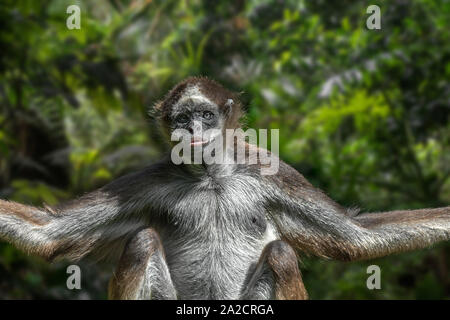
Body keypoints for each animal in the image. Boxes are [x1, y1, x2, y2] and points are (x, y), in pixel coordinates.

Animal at [0, 76, 450, 298]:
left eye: (205, 115)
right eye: (182, 119)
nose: (193, 130)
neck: (212, 178)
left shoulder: (268, 170)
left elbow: (357, 238)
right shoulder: (153, 178)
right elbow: (50, 234)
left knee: (282, 253)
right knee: (143, 242)